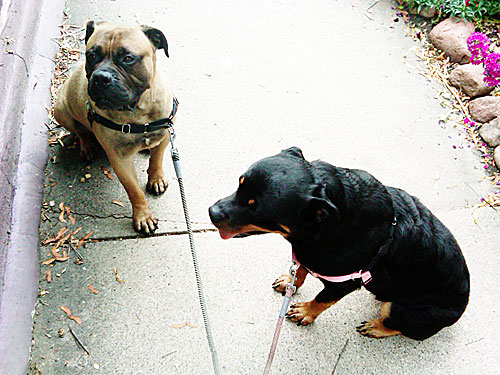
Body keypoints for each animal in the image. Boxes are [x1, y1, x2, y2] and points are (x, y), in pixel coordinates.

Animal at [54, 20, 176, 234]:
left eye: (128, 58)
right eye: (91, 55)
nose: (101, 77)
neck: (138, 112)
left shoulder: (165, 135)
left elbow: (157, 160)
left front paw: (156, 178)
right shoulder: (120, 159)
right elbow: (134, 190)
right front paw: (143, 216)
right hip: (60, 110)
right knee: (80, 131)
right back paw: (87, 145)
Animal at [209, 148, 470, 342]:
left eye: (257, 209)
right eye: (239, 184)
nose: (212, 212)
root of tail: (461, 309)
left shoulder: (345, 283)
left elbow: (321, 299)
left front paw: (305, 312)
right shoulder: (308, 253)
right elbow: (301, 270)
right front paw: (290, 281)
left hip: (400, 309)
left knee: (402, 326)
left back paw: (377, 327)